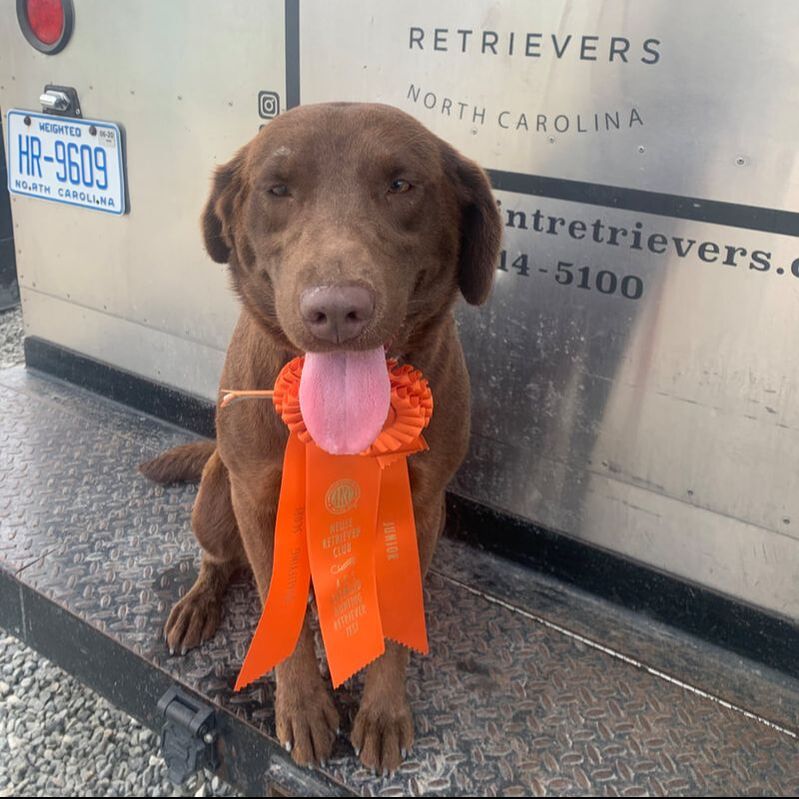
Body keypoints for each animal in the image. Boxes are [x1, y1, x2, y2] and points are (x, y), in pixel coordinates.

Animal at [141, 103, 496, 772]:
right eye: (278, 190)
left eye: (401, 184)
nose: (336, 311)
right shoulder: (258, 499)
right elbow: (280, 614)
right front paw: (302, 707)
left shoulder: (419, 505)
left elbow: (392, 626)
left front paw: (382, 711)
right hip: (216, 497)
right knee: (217, 561)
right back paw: (198, 604)